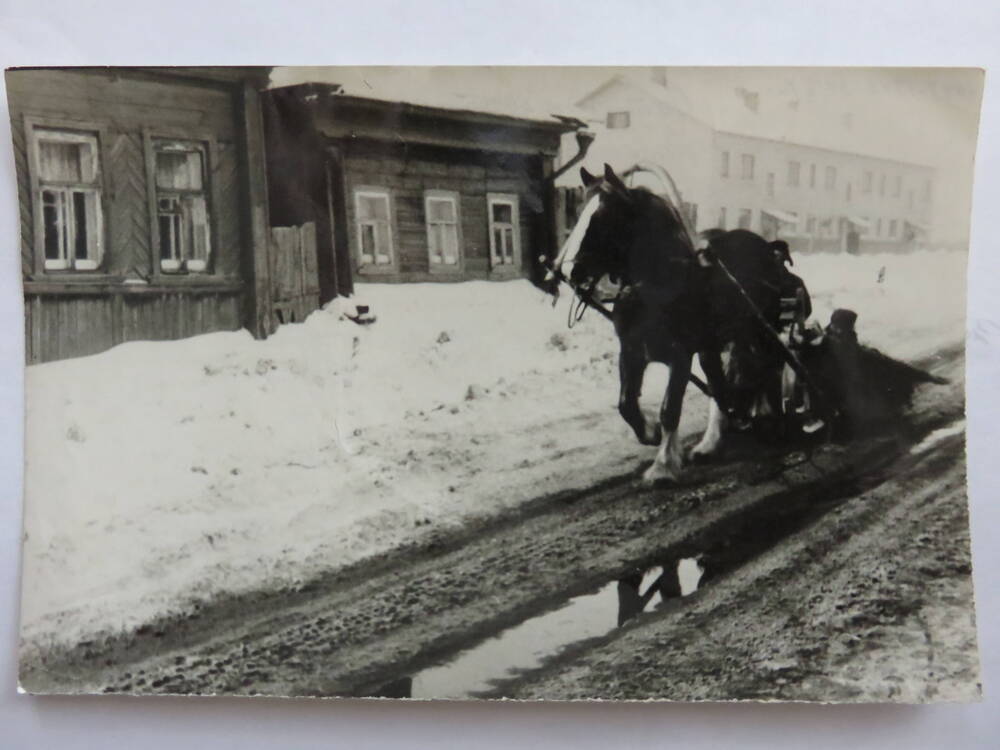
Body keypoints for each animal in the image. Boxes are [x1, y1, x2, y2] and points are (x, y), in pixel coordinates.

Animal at [552, 163, 784, 482]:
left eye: (604, 217)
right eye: (578, 212)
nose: (571, 272)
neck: (655, 286)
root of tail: (764, 245)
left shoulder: (680, 355)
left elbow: (670, 408)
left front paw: (663, 465)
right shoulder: (632, 352)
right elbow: (626, 404)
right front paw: (650, 432)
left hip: (760, 331)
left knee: (770, 366)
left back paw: (770, 417)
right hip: (714, 346)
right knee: (720, 385)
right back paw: (711, 443)